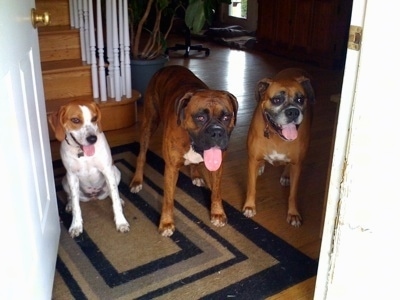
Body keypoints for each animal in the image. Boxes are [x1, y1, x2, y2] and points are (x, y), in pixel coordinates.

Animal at [48, 99, 130, 238]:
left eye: (94, 118)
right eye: (75, 120)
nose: (92, 139)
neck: (83, 154)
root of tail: (93, 196)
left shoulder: (108, 171)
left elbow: (115, 201)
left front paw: (121, 222)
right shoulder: (72, 176)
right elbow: (76, 205)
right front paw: (76, 225)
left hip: (116, 172)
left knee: (112, 193)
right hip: (64, 180)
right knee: (71, 196)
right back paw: (69, 204)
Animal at [130, 65, 238, 237]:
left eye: (226, 117)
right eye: (200, 117)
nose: (217, 132)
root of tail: (167, 67)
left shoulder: (218, 167)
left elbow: (216, 191)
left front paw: (217, 213)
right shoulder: (171, 168)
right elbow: (168, 199)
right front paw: (166, 223)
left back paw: (196, 175)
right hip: (149, 123)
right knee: (142, 155)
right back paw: (137, 180)